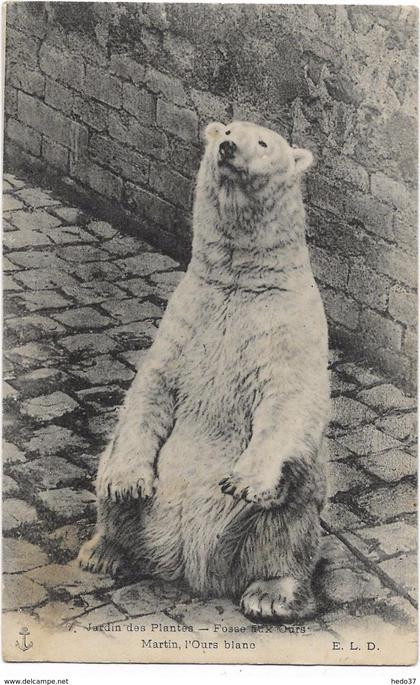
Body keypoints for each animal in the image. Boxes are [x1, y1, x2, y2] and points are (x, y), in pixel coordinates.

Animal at [77, 121, 330, 620]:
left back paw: (271, 594)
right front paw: (128, 483)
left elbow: (290, 400)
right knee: (108, 472)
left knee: (289, 519)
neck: (240, 280)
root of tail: (189, 567)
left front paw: (245, 482)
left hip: (272, 518)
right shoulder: (185, 319)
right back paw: (105, 551)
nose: (227, 147)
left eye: (264, 142)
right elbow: (151, 388)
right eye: (227, 129)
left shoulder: (288, 326)